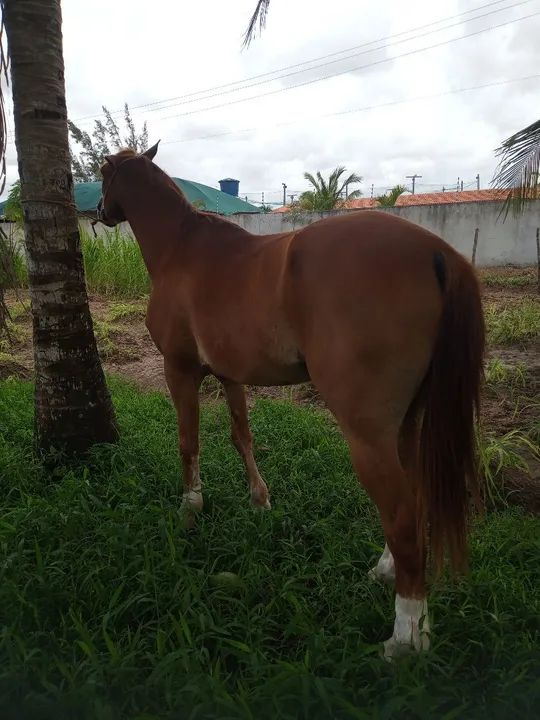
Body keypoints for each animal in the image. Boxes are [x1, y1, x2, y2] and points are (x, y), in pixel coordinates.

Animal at [97, 142, 485, 660]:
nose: (99, 212)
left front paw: (190, 509)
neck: (182, 251)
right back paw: (386, 573)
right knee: (413, 495)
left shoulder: (179, 370)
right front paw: (260, 501)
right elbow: (241, 436)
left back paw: (405, 637)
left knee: (401, 515)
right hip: (406, 423)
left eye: (104, 176)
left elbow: (188, 441)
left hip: (367, 434)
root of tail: (438, 252)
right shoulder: (230, 375)